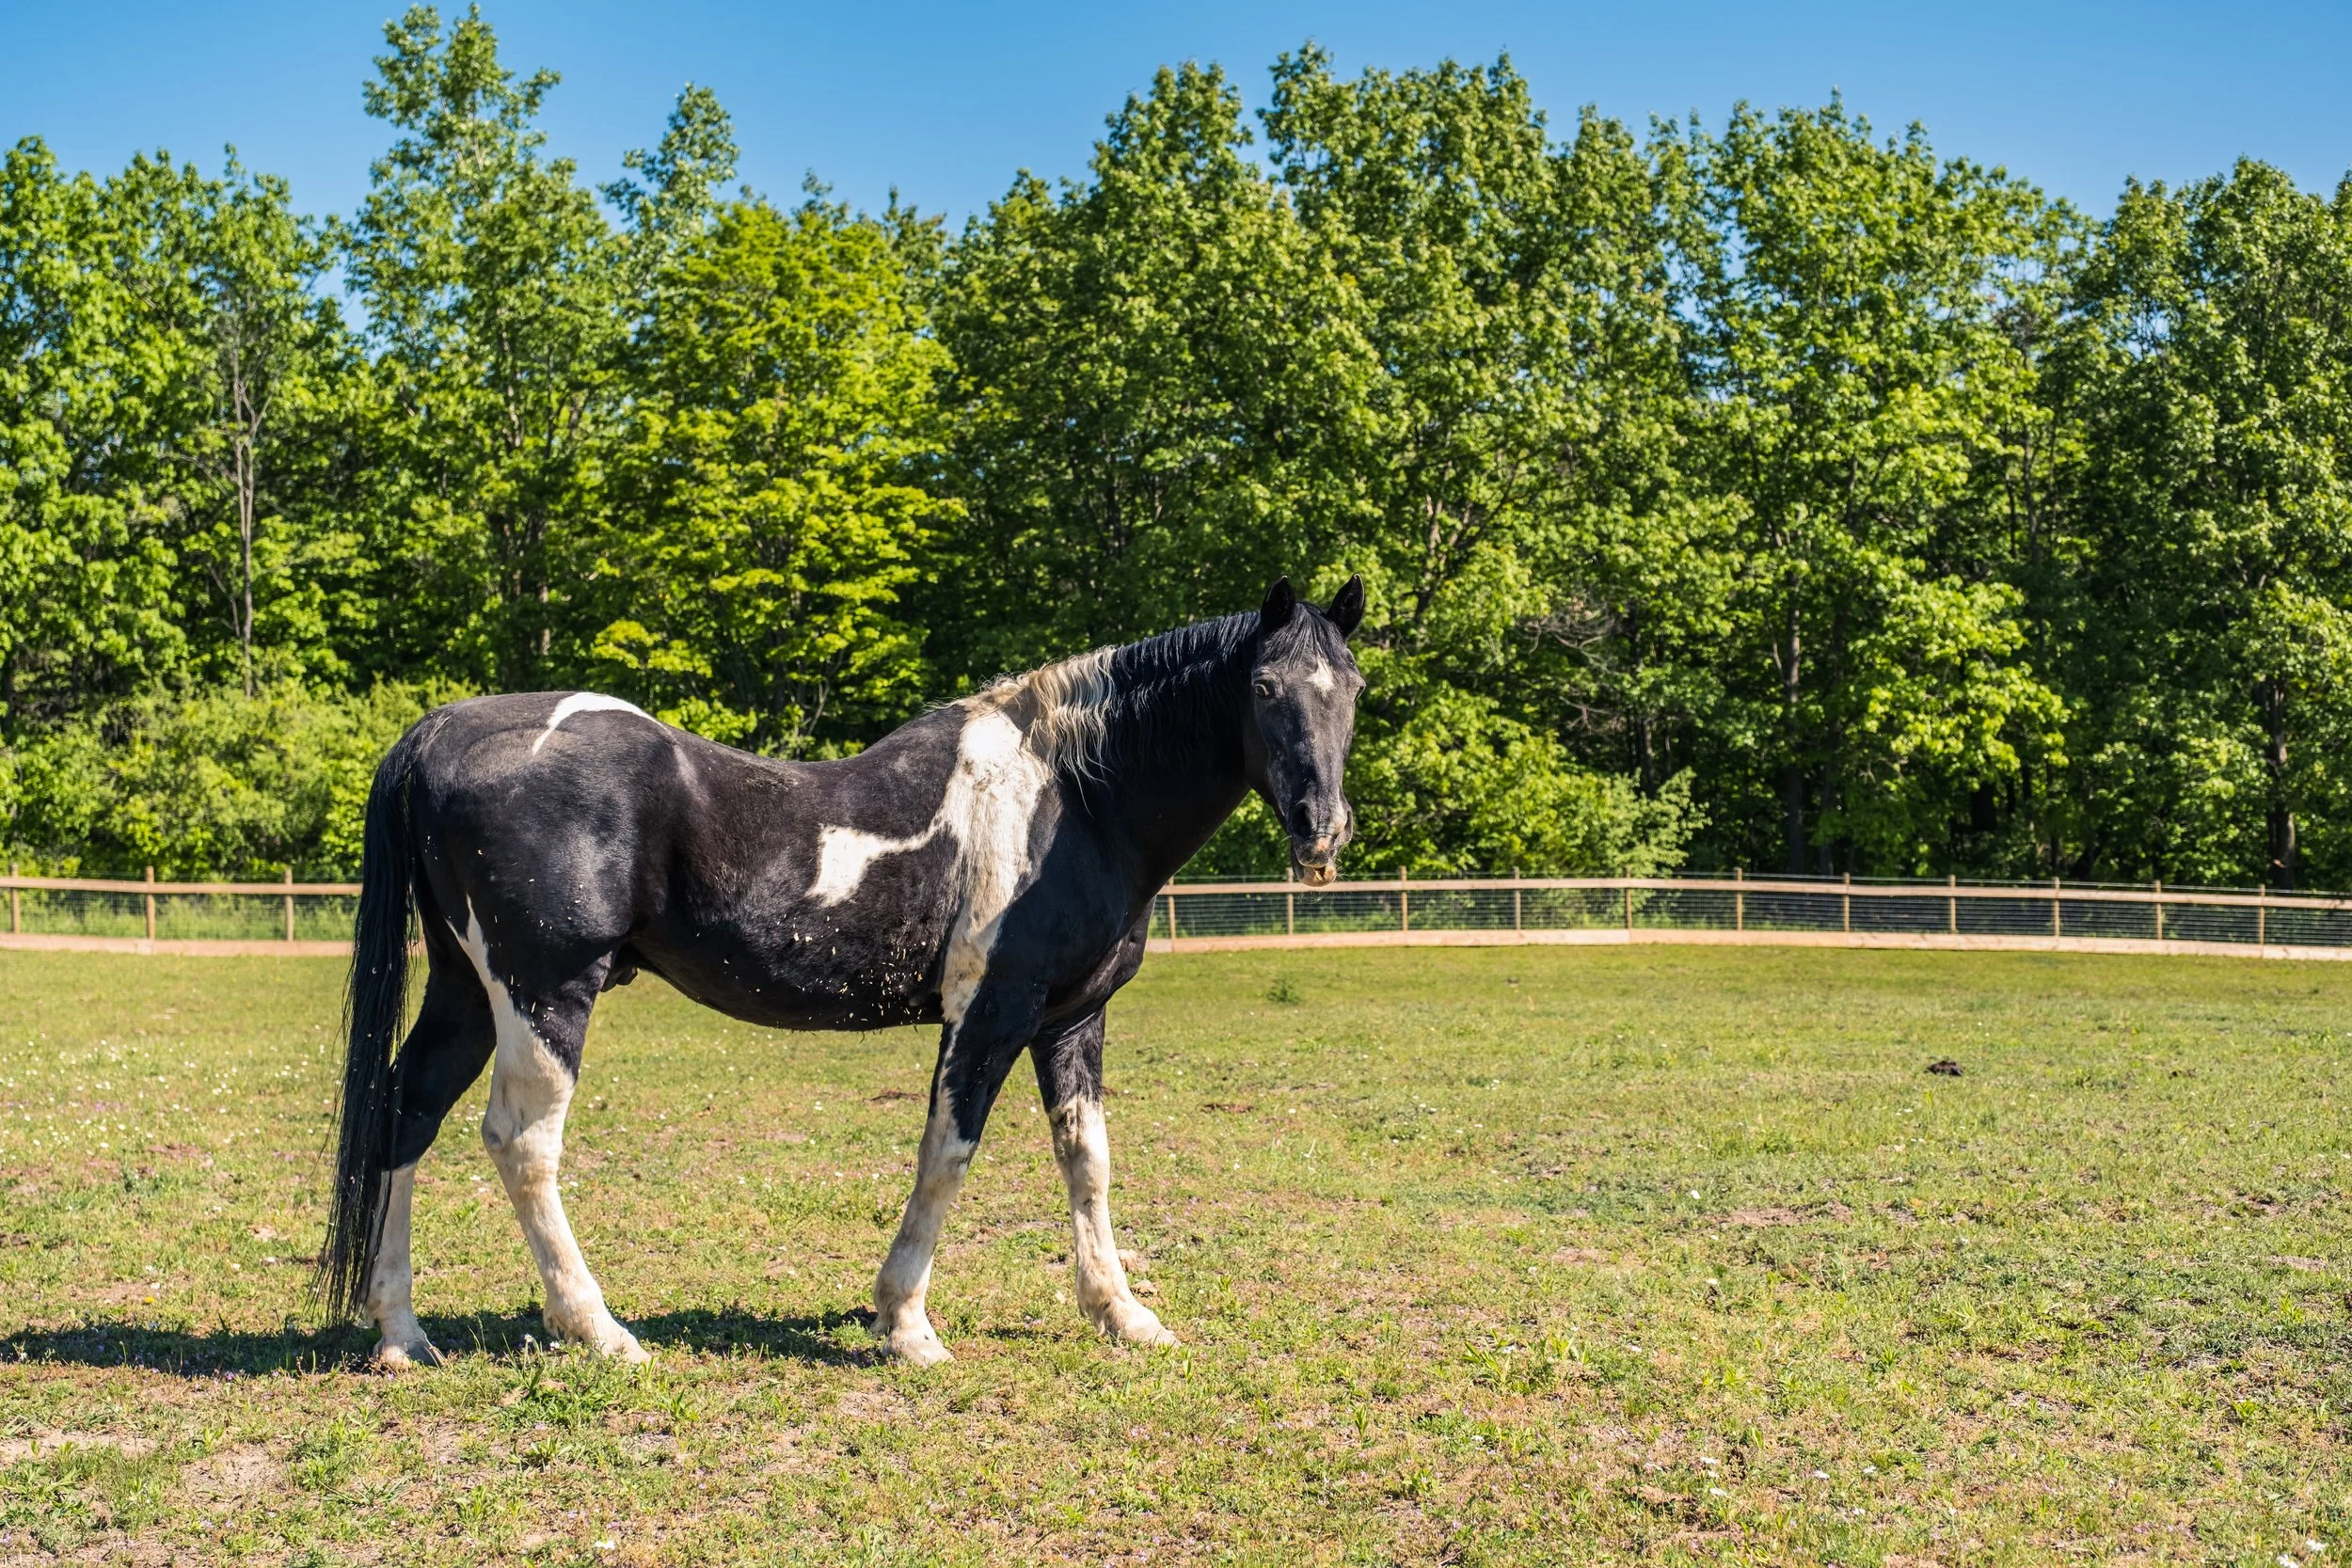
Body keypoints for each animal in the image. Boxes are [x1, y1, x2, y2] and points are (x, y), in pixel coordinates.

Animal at [319, 575, 1366, 1368]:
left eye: (1351, 687)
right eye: (1265, 686)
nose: (1320, 827)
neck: (1068, 796)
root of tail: (441, 732)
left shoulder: (1070, 1019)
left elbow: (1087, 1160)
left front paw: (1122, 1313)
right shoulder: (989, 1011)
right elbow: (947, 1155)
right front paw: (906, 1324)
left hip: (467, 992)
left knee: (407, 1112)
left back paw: (402, 1332)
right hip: (546, 996)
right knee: (522, 1142)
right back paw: (599, 1328)